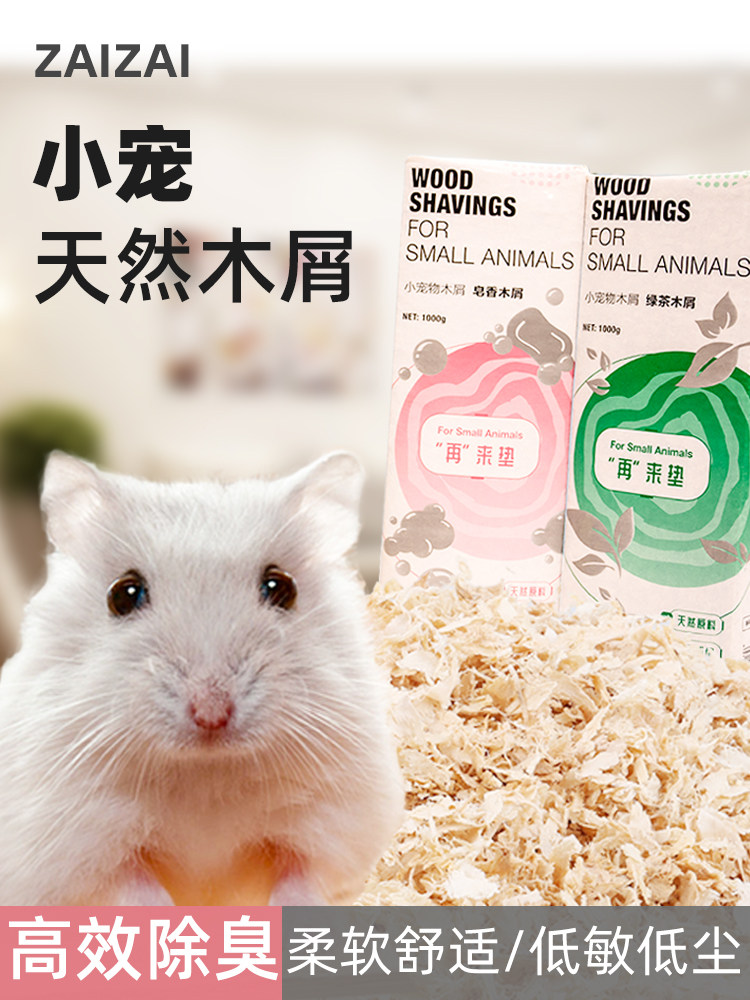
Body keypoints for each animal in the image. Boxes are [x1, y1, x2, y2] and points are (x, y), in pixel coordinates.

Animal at [0, 451, 403, 905]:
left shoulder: (329, 830)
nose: (211, 712)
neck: (207, 773)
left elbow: (299, 881)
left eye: (281, 587)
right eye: (123, 594)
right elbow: (139, 888)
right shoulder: (83, 847)